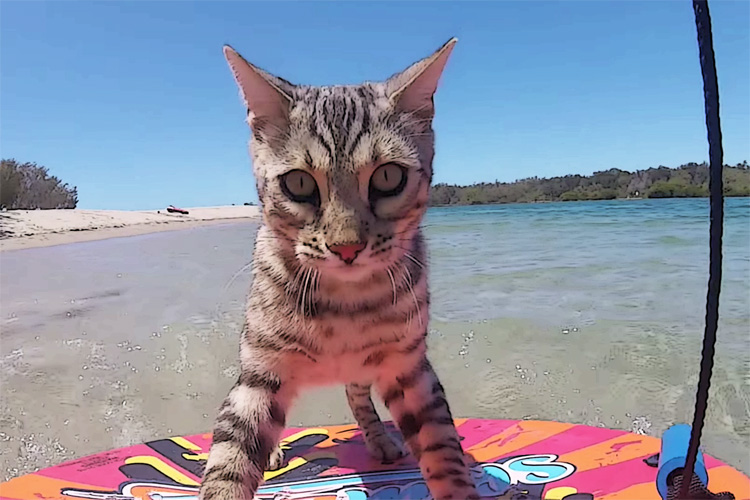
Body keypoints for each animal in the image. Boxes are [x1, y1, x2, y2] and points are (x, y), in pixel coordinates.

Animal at [200, 39, 482, 500]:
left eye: (388, 176)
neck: (343, 304)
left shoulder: (408, 368)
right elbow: (229, 461)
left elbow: (442, 451)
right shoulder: (260, 373)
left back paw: (380, 440)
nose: (346, 247)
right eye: (298, 183)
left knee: (357, 397)